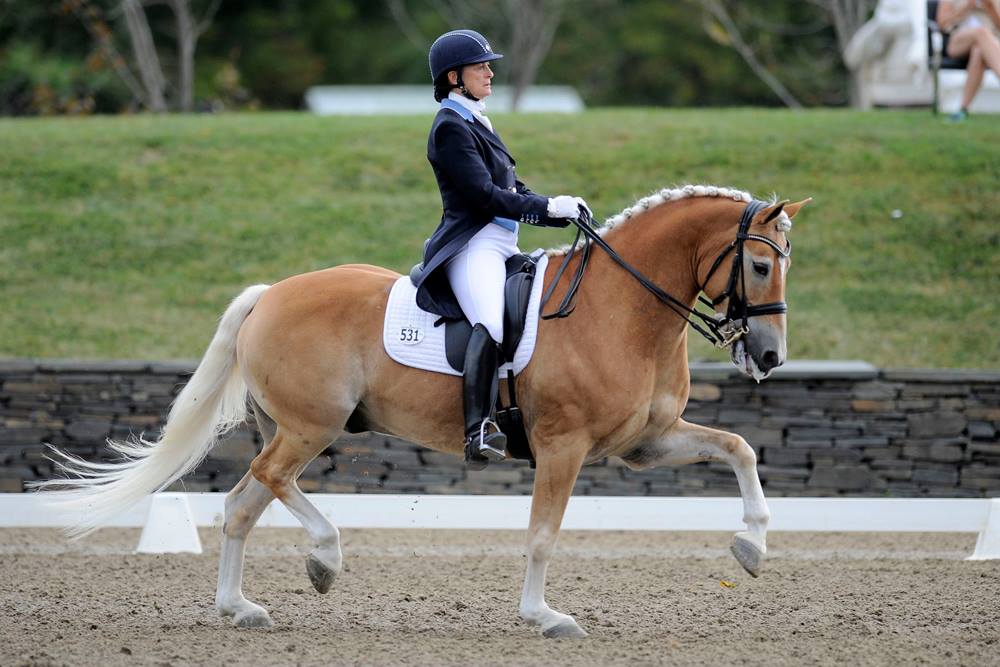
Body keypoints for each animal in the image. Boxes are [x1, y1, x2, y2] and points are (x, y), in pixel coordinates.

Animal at [37, 184, 804, 640]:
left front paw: (752, 547)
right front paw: (543, 615)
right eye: (761, 266)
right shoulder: (564, 446)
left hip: (288, 425)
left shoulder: (646, 441)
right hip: (311, 425)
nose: (769, 357)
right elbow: (542, 535)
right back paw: (325, 558)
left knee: (241, 504)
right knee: (271, 482)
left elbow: (740, 447)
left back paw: (241, 607)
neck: (622, 307)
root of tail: (271, 292)